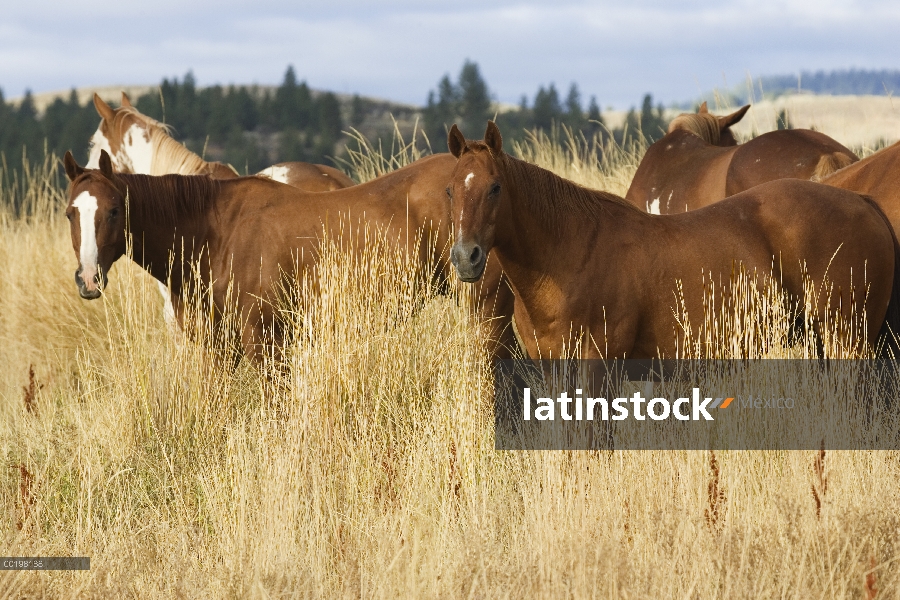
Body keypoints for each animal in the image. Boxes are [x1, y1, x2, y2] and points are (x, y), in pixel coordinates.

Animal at [61, 150, 512, 364]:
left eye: (113, 210)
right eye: (70, 213)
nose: (88, 278)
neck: (218, 231)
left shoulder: (265, 342)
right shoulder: (222, 350)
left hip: (485, 312)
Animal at [446, 120, 896, 358]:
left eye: (495, 188)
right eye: (450, 190)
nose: (466, 258)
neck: (570, 257)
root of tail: (864, 202)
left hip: (847, 341)